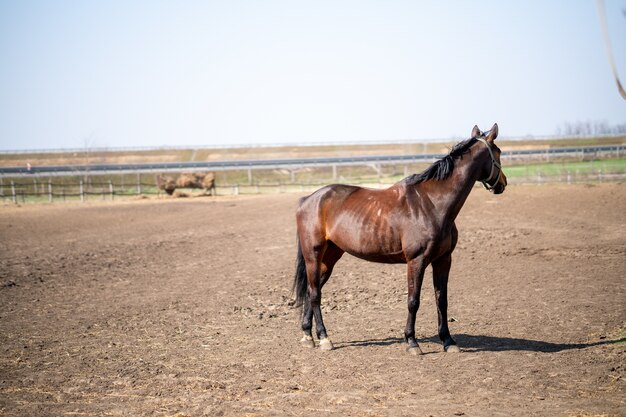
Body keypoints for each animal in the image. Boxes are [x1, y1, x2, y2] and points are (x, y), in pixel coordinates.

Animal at [294, 122, 508, 352]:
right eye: (499, 152)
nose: (503, 183)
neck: (432, 204)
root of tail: (308, 199)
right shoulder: (416, 260)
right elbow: (413, 301)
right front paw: (412, 342)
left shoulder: (443, 260)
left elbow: (441, 300)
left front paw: (448, 341)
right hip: (313, 255)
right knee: (314, 293)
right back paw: (324, 338)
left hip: (330, 257)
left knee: (312, 289)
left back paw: (308, 335)